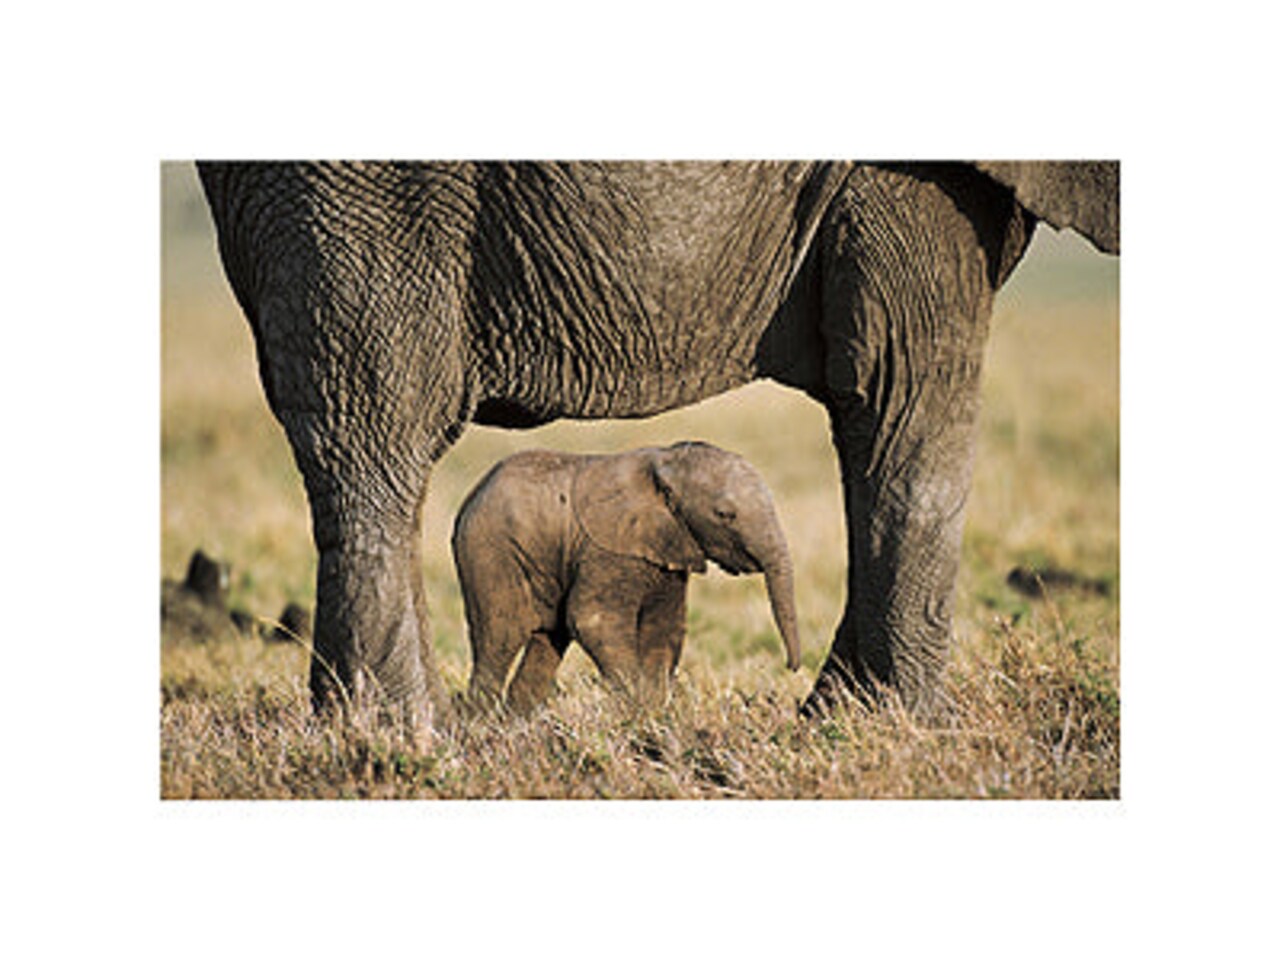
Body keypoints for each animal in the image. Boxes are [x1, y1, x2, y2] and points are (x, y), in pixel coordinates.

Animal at [453, 442, 801, 712]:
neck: (666, 462)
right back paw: (482, 724)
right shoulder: (607, 549)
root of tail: (472, 495)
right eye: (725, 515)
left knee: (548, 641)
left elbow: (665, 627)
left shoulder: (669, 552)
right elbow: (592, 619)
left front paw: (655, 712)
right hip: (489, 553)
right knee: (500, 637)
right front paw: (639, 709)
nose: (791, 667)